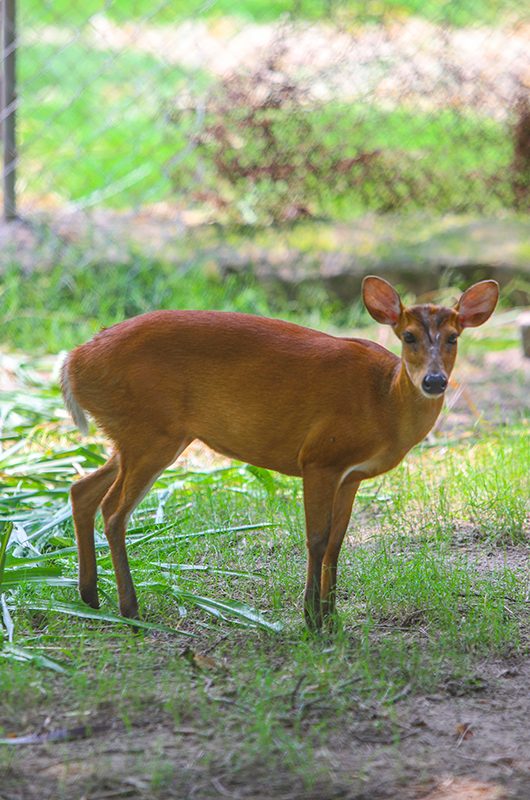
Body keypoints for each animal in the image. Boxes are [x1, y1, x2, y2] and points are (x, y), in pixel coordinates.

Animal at [60, 276, 496, 632]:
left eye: (453, 337)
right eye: (408, 336)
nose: (435, 381)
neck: (383, 401)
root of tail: (73, 360)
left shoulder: (351, 475)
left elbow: (337, 541)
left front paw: (332, 616)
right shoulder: (319, 458)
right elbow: (317, 539)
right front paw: (312, 618)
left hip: (140, 435)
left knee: (82, 490)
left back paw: (90, 596)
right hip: (151, 432)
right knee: (114, 511)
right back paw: (130, 609)